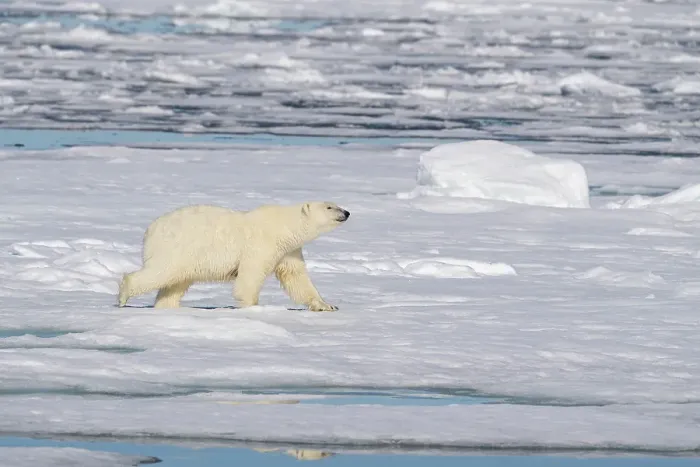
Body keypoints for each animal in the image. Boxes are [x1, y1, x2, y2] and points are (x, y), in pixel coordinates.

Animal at [117, 201, 350, 311]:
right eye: (329, 206)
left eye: (336, 204)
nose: (346, 213)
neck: (283, 226)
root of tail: (150, 230)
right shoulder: (261, 244)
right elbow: (251, 274)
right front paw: (253, 305)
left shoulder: (289, 251)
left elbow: (296, 277)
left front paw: (326, 305)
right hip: (176, 247)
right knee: (162, 272)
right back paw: (124, 294)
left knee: (176, 282)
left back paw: (169, 306)